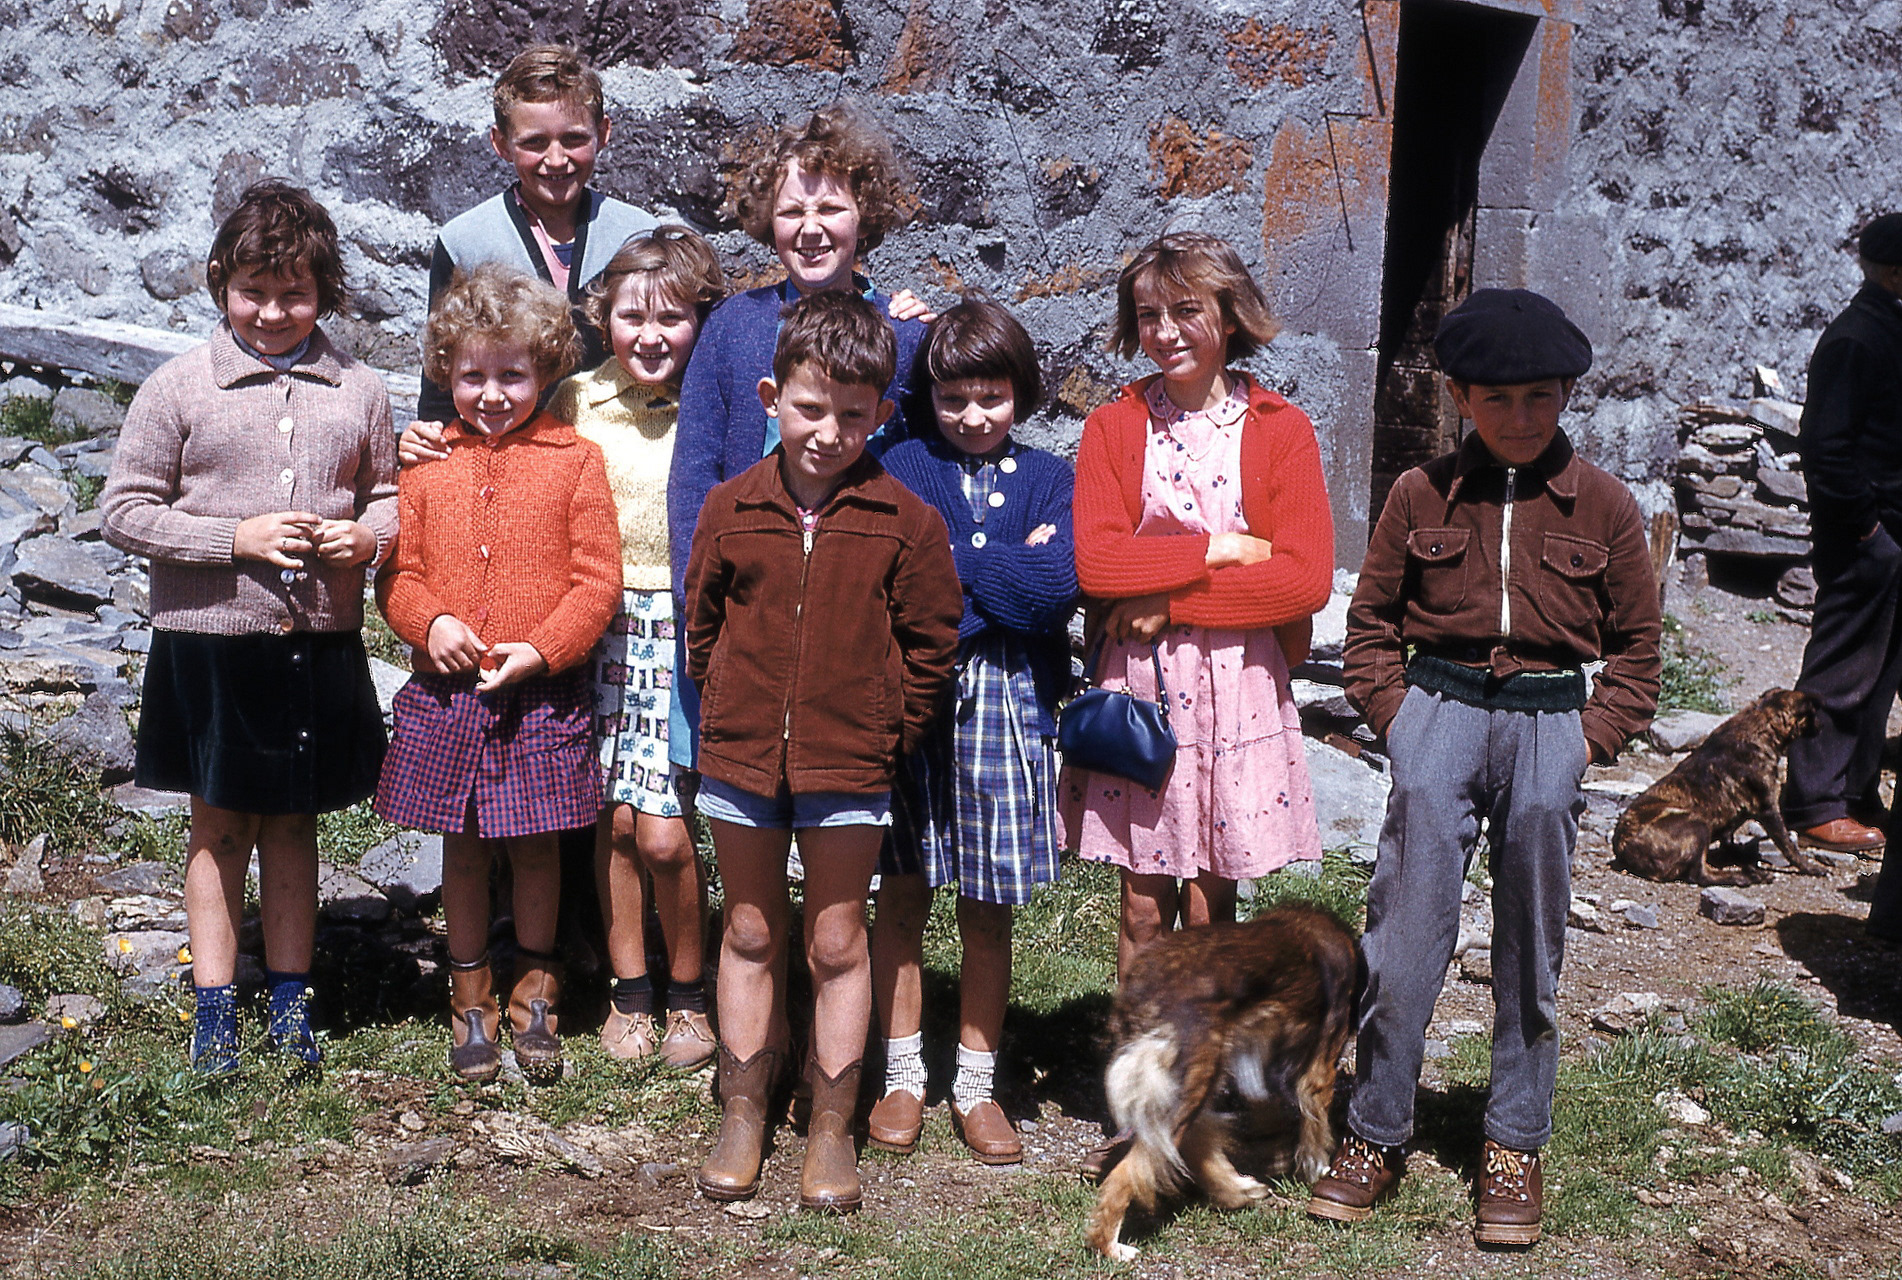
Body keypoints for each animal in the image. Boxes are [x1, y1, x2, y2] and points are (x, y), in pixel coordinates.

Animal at [1085, 905, 1363, 1261]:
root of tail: (1144, 994)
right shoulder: (1320, 1067)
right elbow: (1315, 1127)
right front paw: (1316, 1169)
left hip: (1198, 1078)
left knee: (1193, 1142)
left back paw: (1238, 1190)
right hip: (1190, 1083)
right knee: (1130, 1172)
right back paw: (1109, 1246)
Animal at [1612, 687, 1822, 886]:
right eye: (1813, 713)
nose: (1821, 727)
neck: (1762, 719)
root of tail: (1623, 848)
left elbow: (1729, 842)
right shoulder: (1768, 809)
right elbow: (1789, 846)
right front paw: (1809, 867)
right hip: (1698, 824)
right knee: (1700, 875)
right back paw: (1745, 876)